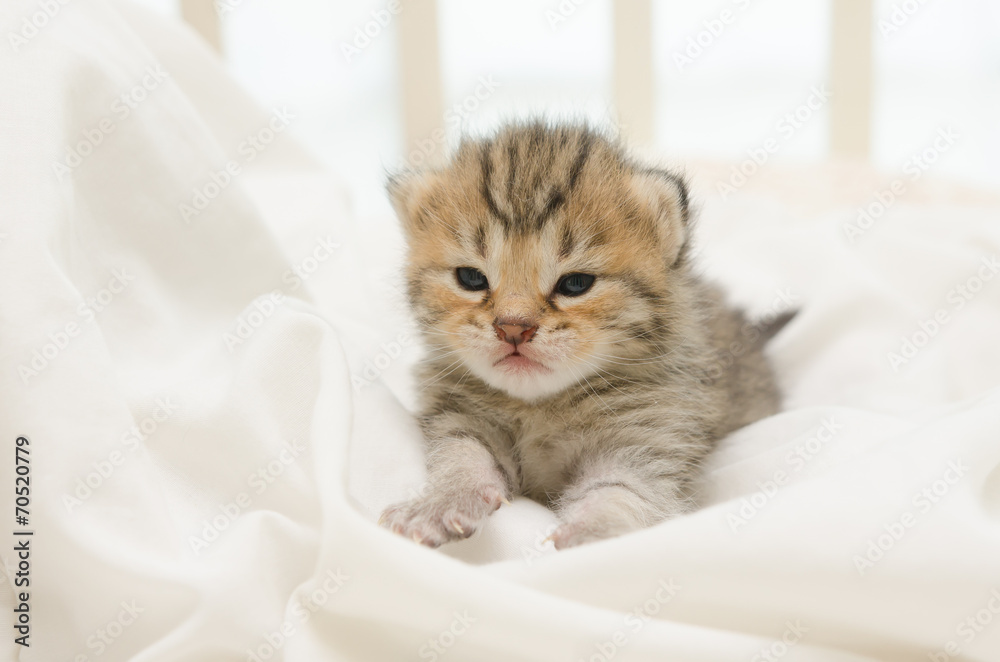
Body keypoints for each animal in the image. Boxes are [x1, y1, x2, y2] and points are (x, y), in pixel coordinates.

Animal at [376, 122, 788, 552]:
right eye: (471, 278)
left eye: (575, 284)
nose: (513, 327)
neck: (540, 406)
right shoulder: (458, 415)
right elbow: (461, 457)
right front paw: (438, 504)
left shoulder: (646, 440)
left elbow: (620, 493)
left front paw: (591, 537)